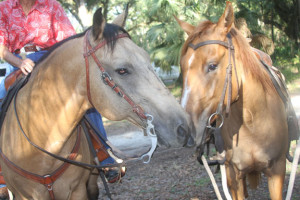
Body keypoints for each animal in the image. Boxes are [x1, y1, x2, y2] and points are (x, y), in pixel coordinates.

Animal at [176, 1, 298, 200]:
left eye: (212, 66)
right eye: (182, 67)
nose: (184, 129)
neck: (252, 121)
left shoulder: (277, 171)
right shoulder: (233, 175)